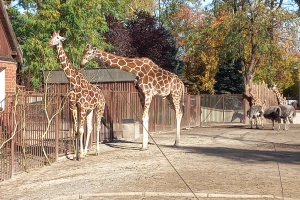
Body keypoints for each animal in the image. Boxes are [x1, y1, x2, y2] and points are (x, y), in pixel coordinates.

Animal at [47, 31, 105, 159]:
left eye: (57, 38)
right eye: (51, 36)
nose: (49, 43)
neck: (74, 82)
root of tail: (102, 95)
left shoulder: (82, 107)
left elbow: (81, 130)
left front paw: (80, 155)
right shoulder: (74, 107)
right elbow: (76, 130)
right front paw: (76, 154)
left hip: (99, 108)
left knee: (98, 127)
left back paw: (97, 151)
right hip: (90, 110)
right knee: (90, 128)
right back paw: (87, 151)